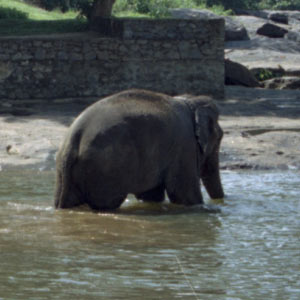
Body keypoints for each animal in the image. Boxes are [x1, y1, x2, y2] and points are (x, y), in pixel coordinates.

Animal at [54, 89, 224, 211]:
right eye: (219, 137)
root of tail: (73, 139)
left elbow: (151, 194)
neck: (190, 101)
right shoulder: (185, 145)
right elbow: (184, 194)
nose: (220, 203)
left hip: (67, 172)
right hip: (106, 168)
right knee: (107, 203)